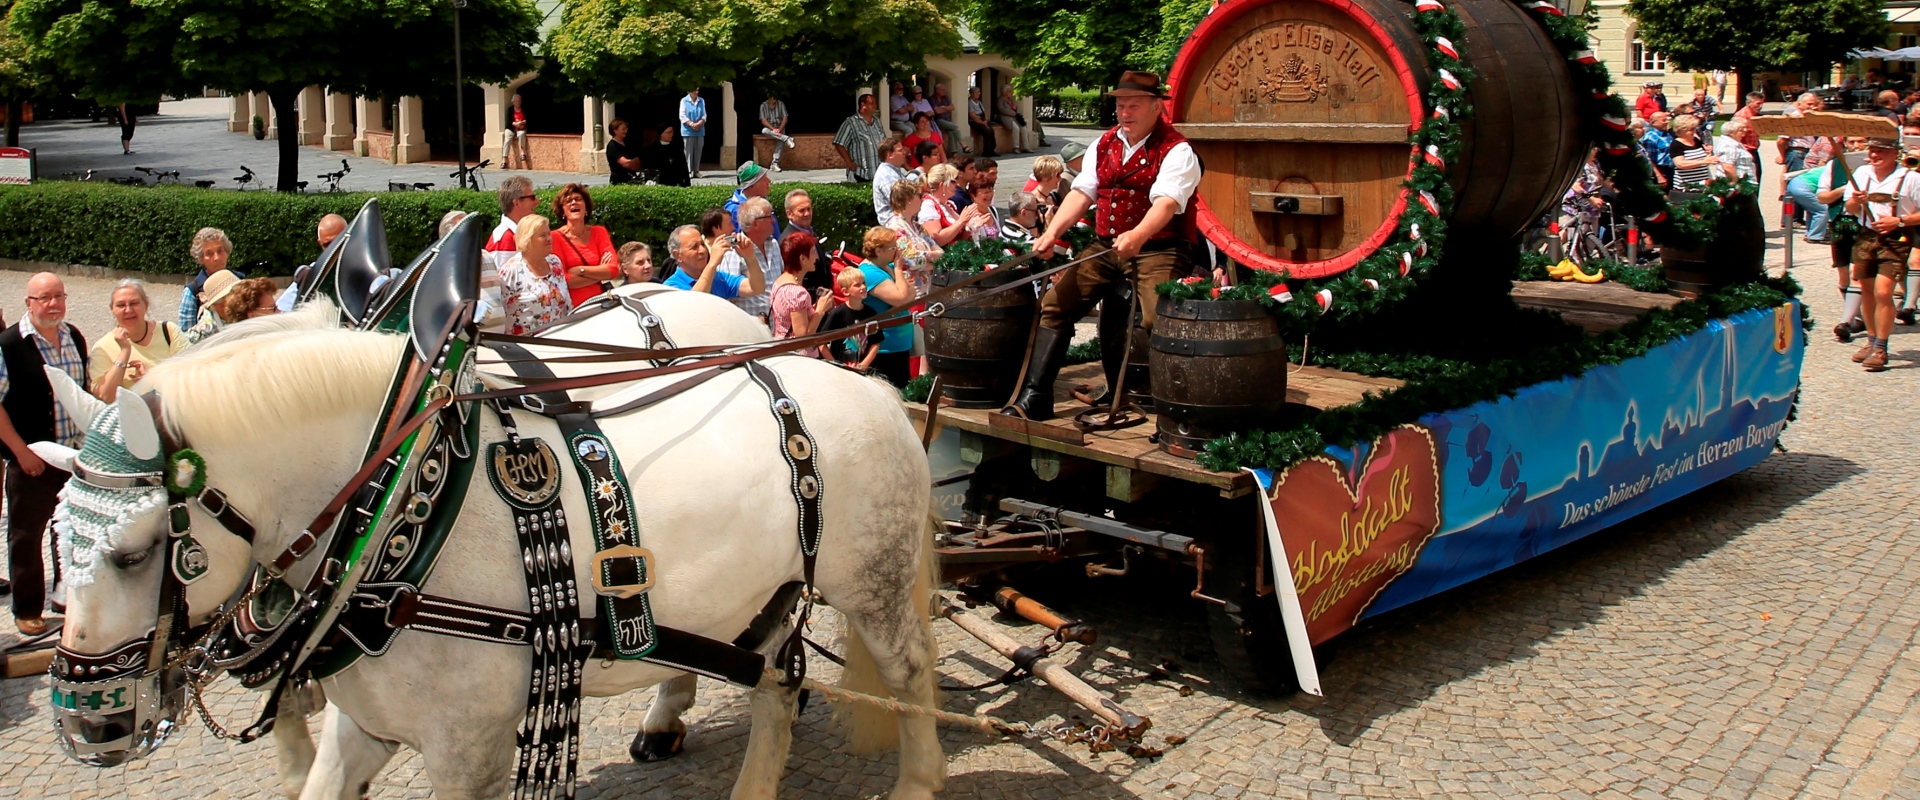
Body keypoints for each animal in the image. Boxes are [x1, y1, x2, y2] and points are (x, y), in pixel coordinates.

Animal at [41, 306, 940, 798]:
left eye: (134, 552)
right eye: (58, 542)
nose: (89, 727)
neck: (395, 526)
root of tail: (869, 384)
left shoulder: (467, 748)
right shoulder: (363, 724)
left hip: (876, 583)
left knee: (910, 676)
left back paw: (916, 779)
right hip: (762, 603)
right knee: (777, 689)